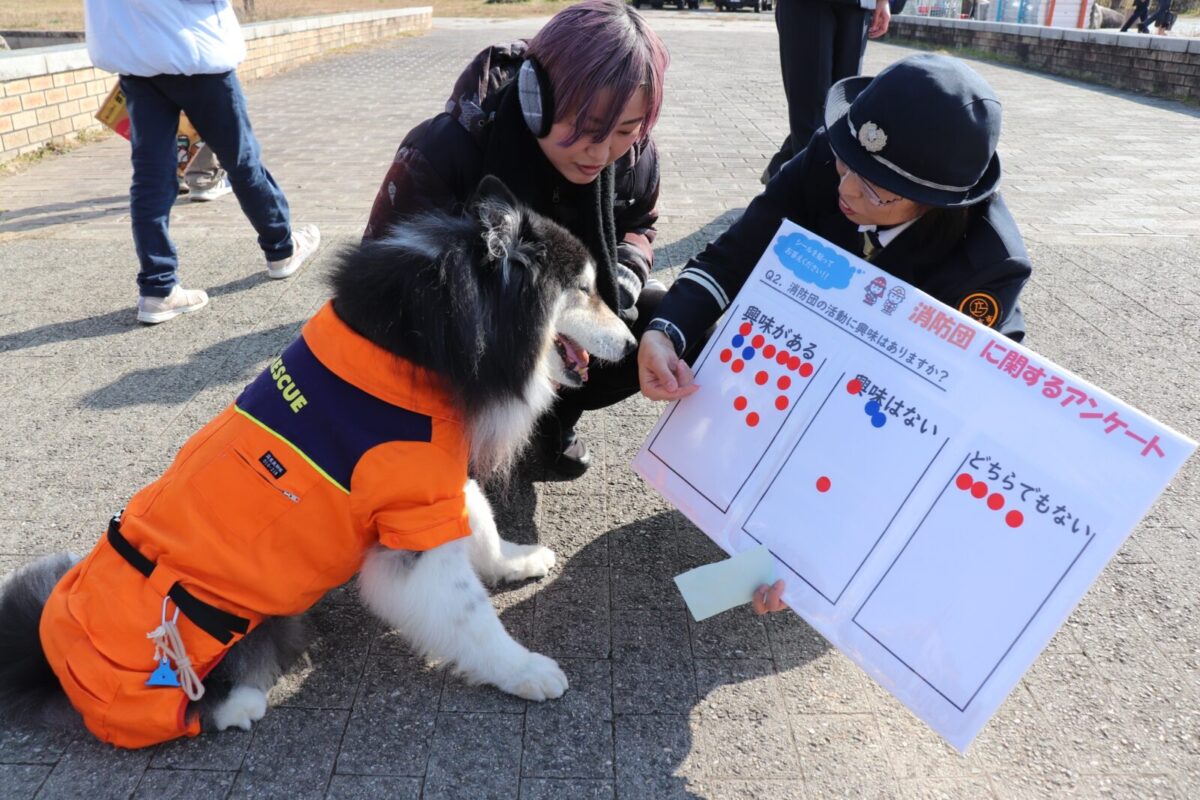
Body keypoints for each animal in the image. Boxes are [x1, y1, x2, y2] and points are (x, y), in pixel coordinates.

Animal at [0, 175, 636, 748]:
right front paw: (524, 670)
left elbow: (480, 525)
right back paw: (240, 704)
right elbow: (468, 613)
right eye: (584, 289)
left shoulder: (432, 489)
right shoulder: (411, 518)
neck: (427, 340)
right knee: (198, 700)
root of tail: (52, 665)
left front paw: (518, 561)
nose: (633, 343)